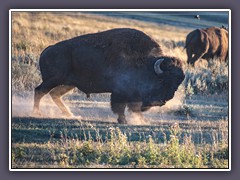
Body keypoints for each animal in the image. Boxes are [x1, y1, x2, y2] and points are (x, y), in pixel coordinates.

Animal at [32, 28, 185, 124]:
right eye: (162, 80)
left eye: (177, 84)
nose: (164, 99)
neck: (146, 62)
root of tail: (47, 50)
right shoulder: (120, 93)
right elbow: (120, 107)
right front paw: (123, 121)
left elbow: (134, 108)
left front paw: (141, 120)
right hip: (54, 79)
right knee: (40, 91)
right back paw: (37, 113)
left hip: (68, 84)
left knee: (54, 94)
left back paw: (70, 115)